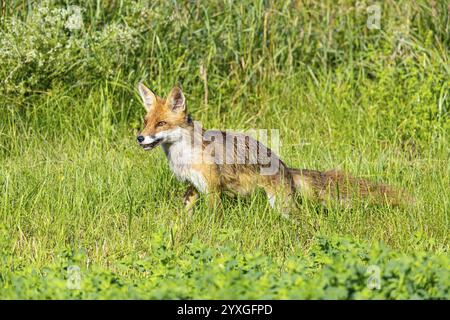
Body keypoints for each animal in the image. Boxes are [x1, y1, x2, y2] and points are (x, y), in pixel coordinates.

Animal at [135, 83, 410, 218]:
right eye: (146, 122)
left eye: (161, 124)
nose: (139, 138)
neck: (184, 155)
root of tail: (286, 166)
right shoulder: (193, 187)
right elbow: (184, 214)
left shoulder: (212, 191)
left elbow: (212, 219)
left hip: (281, 206)